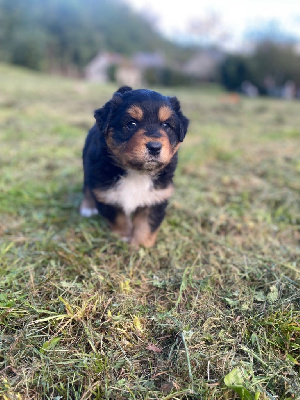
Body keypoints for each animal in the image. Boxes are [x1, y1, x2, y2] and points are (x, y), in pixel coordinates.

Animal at [79, 86, 188, 245]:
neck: (137, 173)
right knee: (87, 187)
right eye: (131, 124)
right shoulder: (106, 192)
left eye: (166, 125)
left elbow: (146, 225)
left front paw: (140, 245)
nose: (154, 147)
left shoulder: (156, 197)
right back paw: (87, 208)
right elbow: (119, 218)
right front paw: (124, 237)